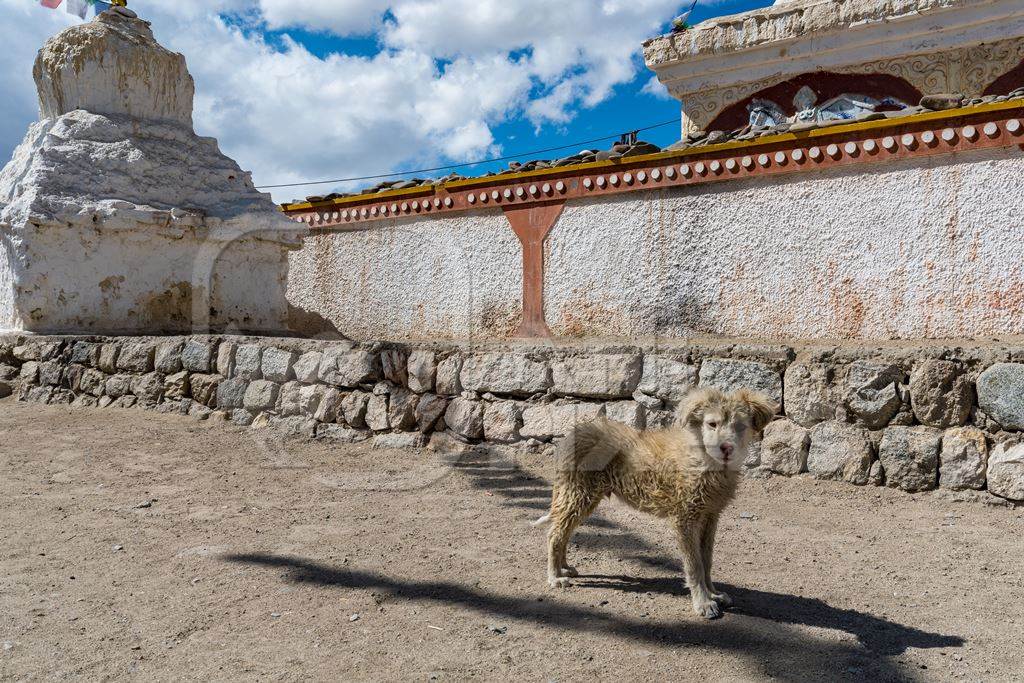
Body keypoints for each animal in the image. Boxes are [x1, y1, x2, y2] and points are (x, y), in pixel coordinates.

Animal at [536, 389, 774, 618]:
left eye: (740, 426)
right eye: (712, 424)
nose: (726, 448)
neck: (704, 460)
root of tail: (573, 433)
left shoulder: (710, 515)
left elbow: (706, 559)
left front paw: (713, 593)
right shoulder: (684, 519)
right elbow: (694, 564)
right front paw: (703, 602)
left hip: (583, 499)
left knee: (564, 532)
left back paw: (564, 568)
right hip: (578, 495)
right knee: (554, 534)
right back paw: (555, 577)